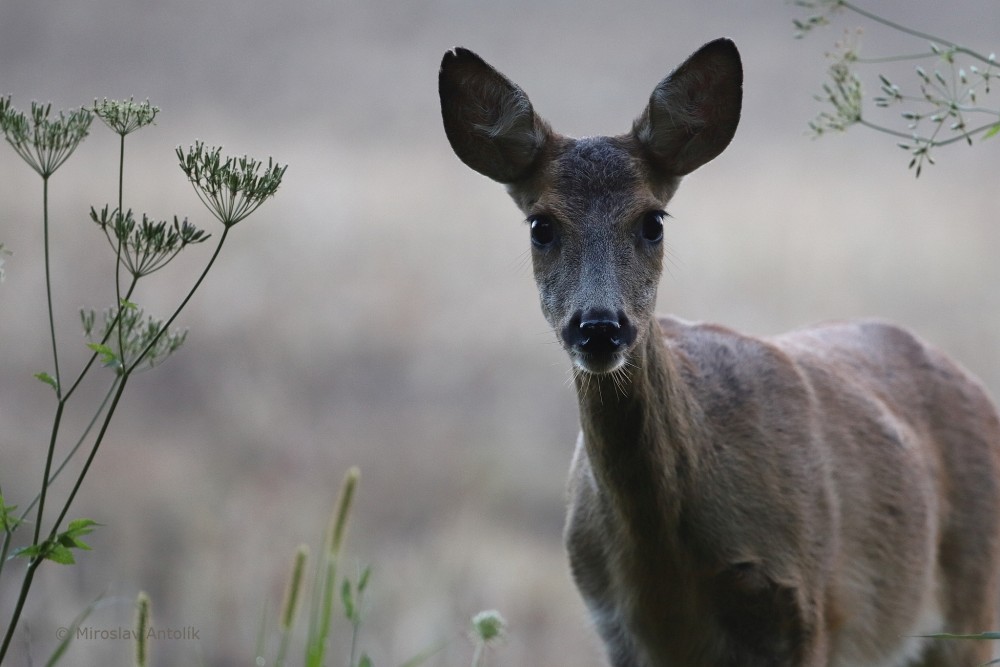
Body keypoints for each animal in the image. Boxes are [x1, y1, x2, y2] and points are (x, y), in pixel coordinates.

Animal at [442, 40, 1000, 667]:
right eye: (540, 225)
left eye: (653, 221)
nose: (600, 327)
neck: (662, 566)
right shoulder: (613, 624)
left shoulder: (805, 607)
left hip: (970, 601)